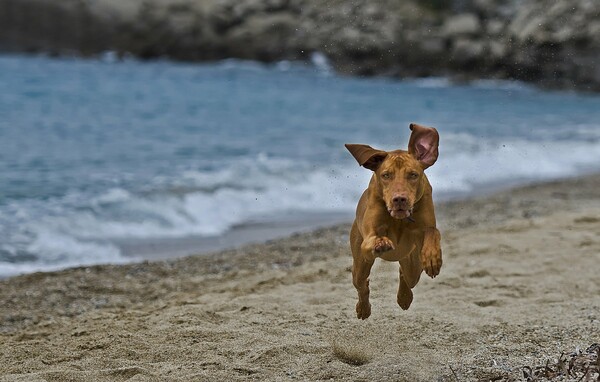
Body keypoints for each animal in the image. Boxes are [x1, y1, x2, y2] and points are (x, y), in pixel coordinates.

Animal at [346, 123, 440, 320]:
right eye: (386, 175)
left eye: (413, 175)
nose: (399, 199)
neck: (399, 220)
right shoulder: (368, 239)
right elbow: (373, 239)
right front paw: (381, 242)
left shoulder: (425, 226)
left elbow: (432, 231)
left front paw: (432, 256)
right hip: (359, 264)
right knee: (362, 284)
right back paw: (363, 308)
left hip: (412, 264)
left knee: (406, 274)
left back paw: (404, 297)